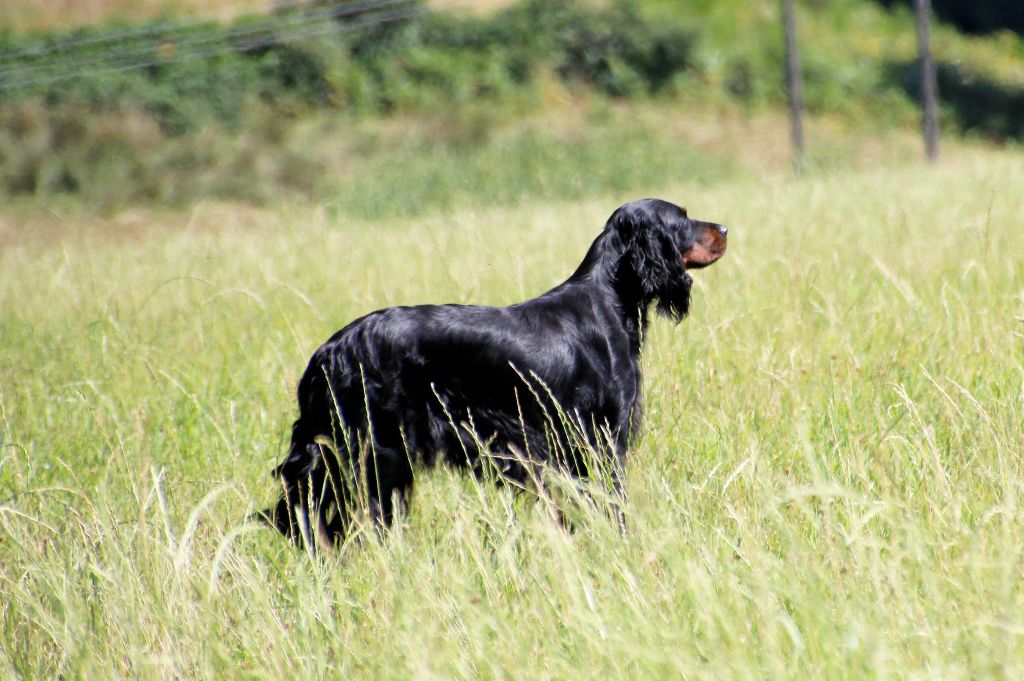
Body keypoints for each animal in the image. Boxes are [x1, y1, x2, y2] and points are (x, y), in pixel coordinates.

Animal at [264, 199, 729, 544]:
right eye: (683, 218)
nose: (725, 228)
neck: (609, 300)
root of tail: (329, 351)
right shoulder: (601, 440)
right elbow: (612, 503)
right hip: (379, 454)